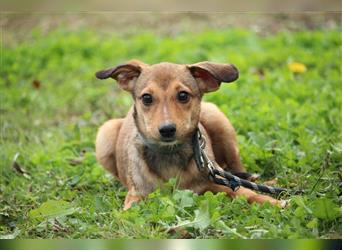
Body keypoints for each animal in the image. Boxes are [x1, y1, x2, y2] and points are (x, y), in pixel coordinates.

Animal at [94, 60, 284, 209]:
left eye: (183, 95)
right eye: (147, 98)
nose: (167, 129)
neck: (170, 153)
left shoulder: (213, 182)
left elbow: (247, 192)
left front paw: (273, 202)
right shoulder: (136, 195)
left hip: (217, 119)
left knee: (236, 169)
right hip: (105, 134)